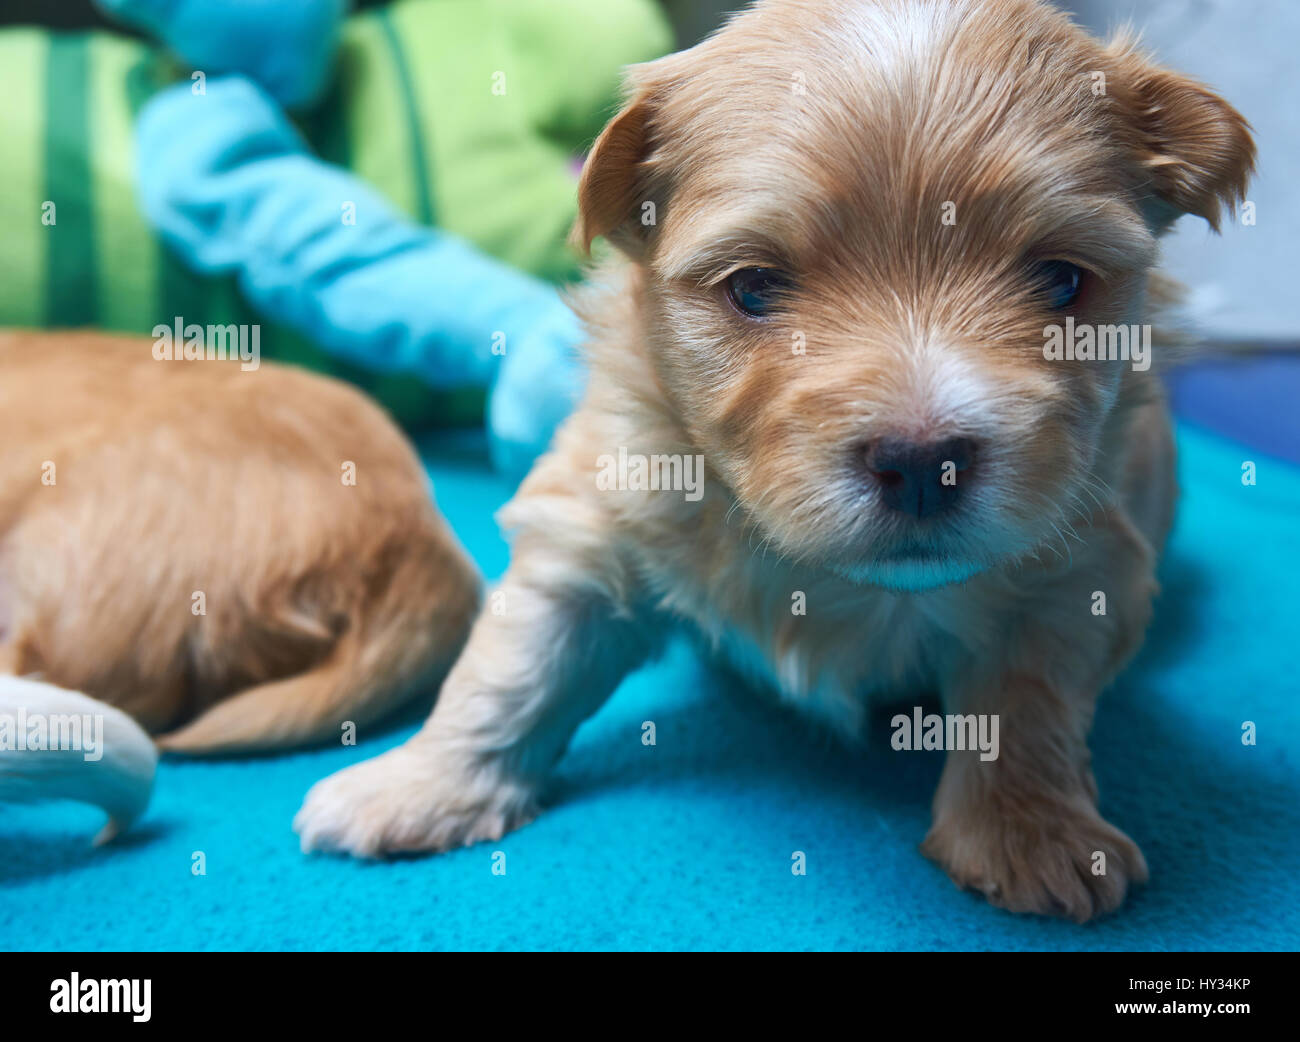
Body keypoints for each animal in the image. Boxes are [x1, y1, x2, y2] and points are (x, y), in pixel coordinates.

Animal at [295, 0, 1248, 919]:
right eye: (753, 288)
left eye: (1060, 280)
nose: (921, 461)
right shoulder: (599, 519)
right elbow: (513, 665)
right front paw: (419, 785)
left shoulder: (1078, 571)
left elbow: (1028, 708)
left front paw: (1032, 832)